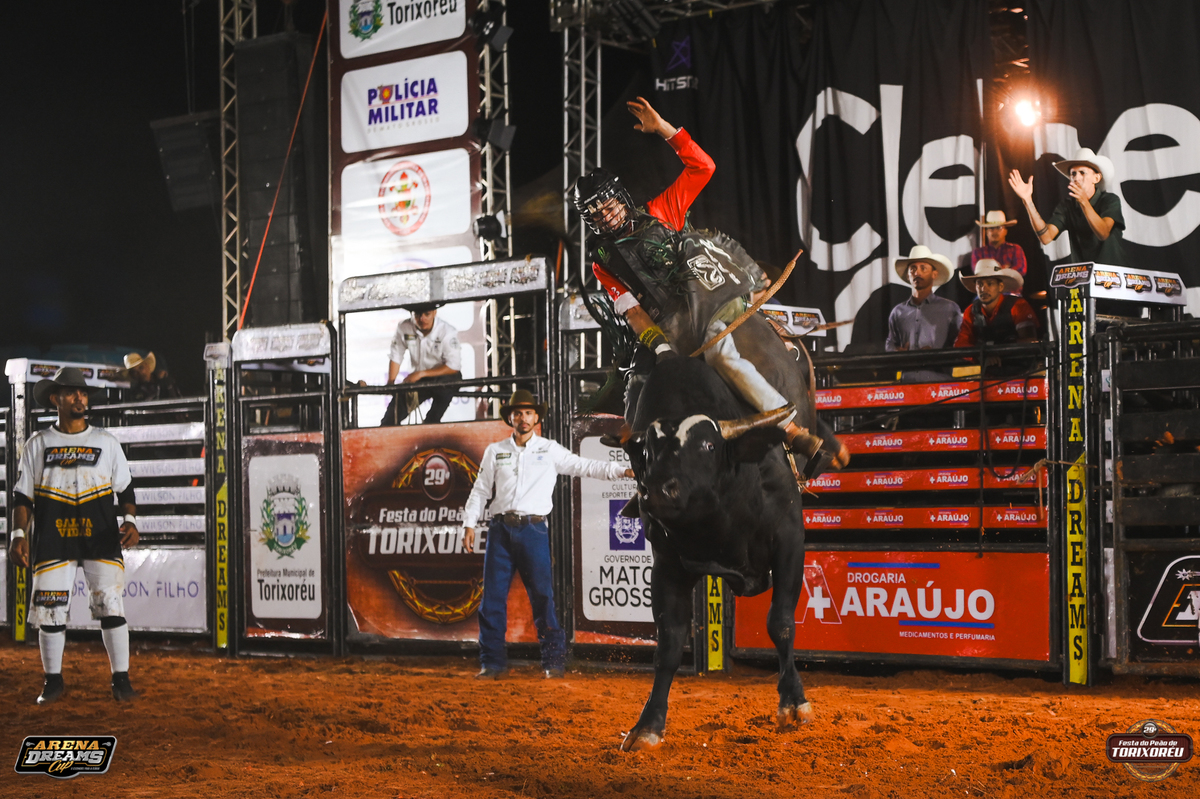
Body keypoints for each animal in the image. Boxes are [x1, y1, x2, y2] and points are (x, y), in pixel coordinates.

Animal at [615, 353, 839, 752]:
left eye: (707, 446)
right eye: (647, 453)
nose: (658, 490)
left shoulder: (790, 542)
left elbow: (781, 623)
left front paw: (794, 703)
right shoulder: (666, 563)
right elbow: (669, 642)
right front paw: (647, 726)